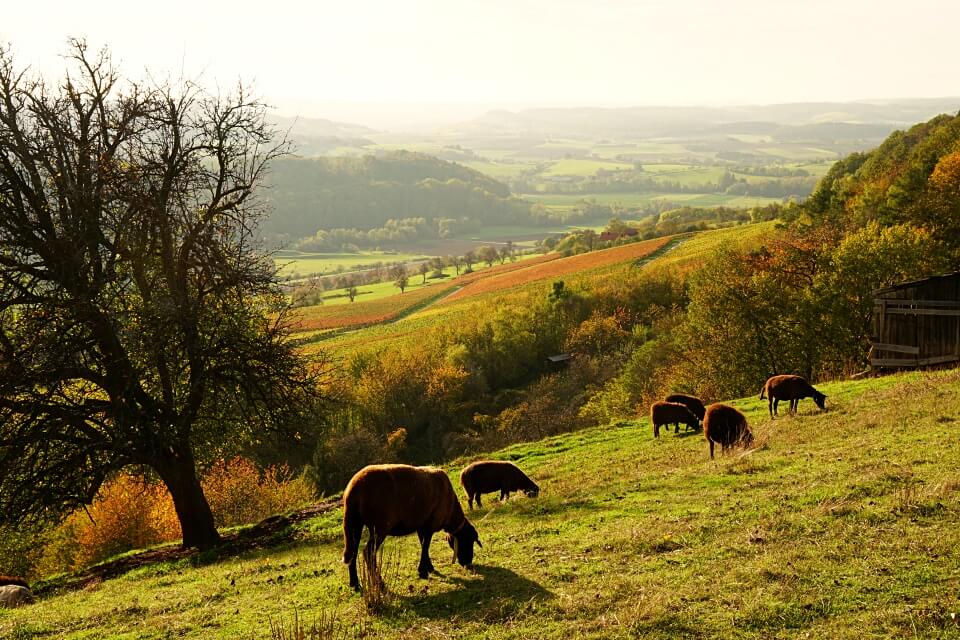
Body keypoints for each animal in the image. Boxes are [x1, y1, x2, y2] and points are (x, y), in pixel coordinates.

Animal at [342, 464, 484, 592]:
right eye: (469, 541)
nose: (468, 563)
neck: (450, 513)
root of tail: (355, 489)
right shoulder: (431, 523)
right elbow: (426, 545)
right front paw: (423, 572)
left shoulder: (421, 525)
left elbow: (423, 545)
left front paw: (429, 567)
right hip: (380, 526)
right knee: (368, 553)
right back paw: (381, 585)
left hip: (355, 524)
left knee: (353, 552)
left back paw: (355, 584)